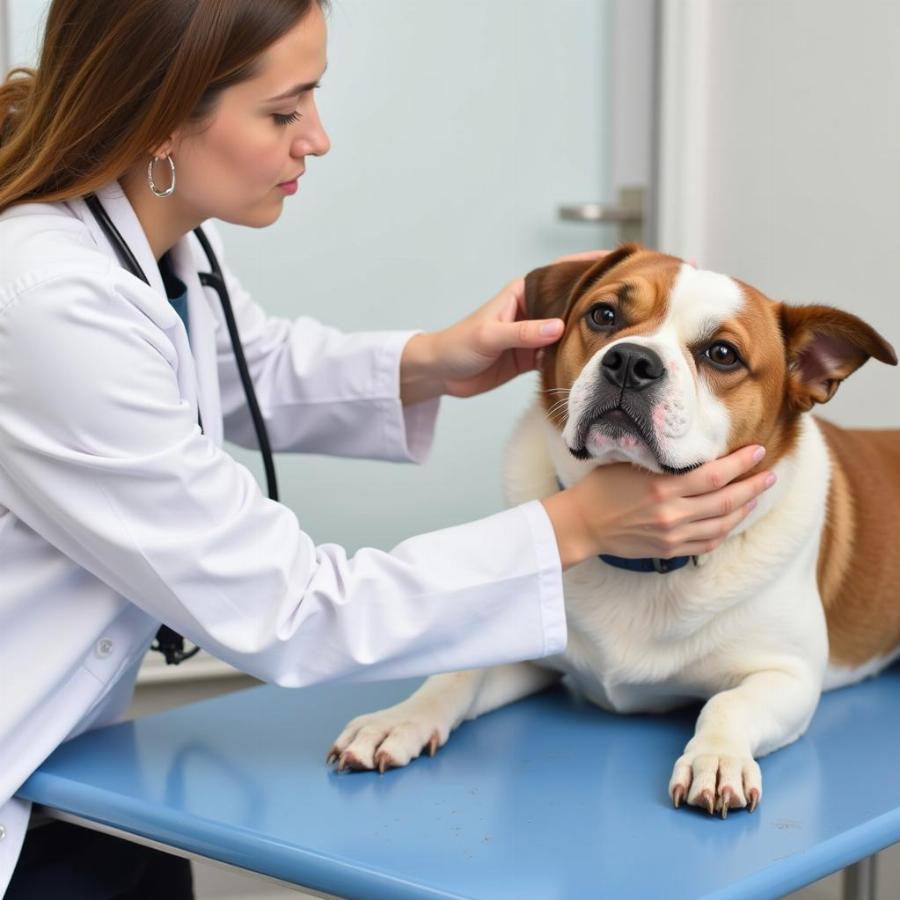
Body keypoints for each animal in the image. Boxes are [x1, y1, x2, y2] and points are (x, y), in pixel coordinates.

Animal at [330, 244, 900, 816]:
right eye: (604, 315)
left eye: (722, 353)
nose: (630, 361)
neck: (641, 562)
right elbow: (455, 674)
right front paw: (399, 719)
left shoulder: (788, 675)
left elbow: (726, 705)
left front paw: (717, 757)